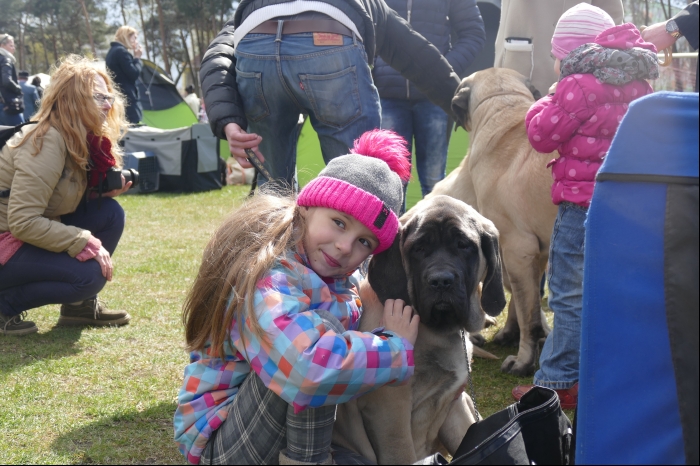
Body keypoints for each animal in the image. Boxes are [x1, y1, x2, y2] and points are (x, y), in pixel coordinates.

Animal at [330, 195, 506, 464]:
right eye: (419, 249)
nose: (441, 281)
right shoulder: (391, 411)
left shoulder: (454, 403)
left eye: (463, 245)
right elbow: (402, 452)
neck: (438, 331)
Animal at [426, 67, 556, 376]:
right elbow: (521, 301)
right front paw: (510, 334)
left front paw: (522, 361)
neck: (503, 106)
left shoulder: (517, 249)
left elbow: (529, 315)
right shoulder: (529, 253)